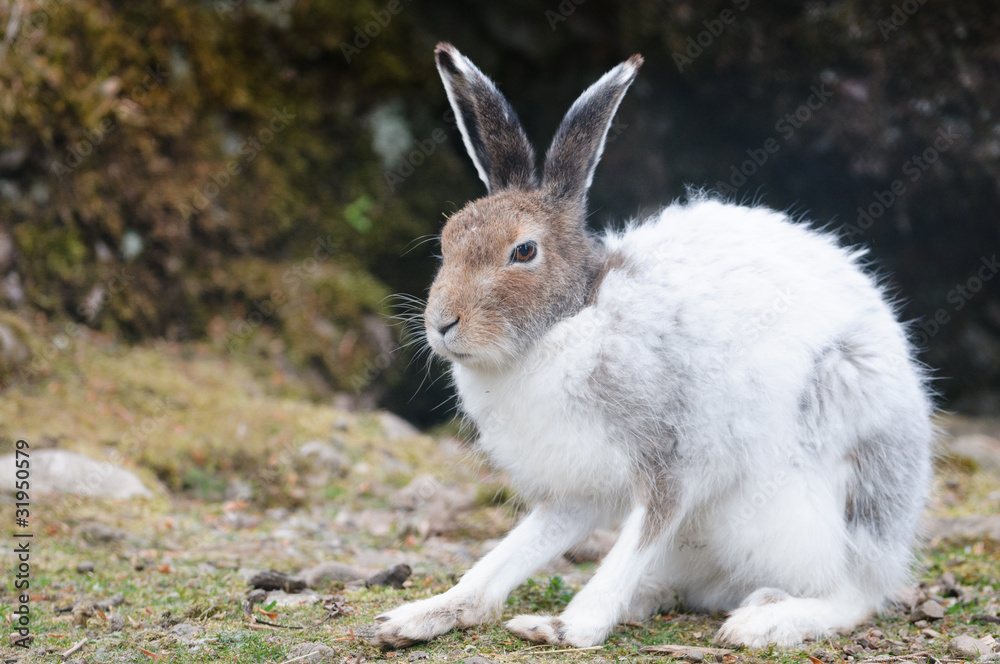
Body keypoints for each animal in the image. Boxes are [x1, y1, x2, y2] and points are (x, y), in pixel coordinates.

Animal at [373, 42, 934, 650]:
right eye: (448, 238)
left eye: (523, 251)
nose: (441, 323)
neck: (569, 322)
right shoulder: (576, 489)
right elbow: (511, 554)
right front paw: (420, 616)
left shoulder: (672, 465)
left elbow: (636, 541)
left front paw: (568, 626)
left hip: (806, 507)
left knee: (852, 595)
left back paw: (765, 619)